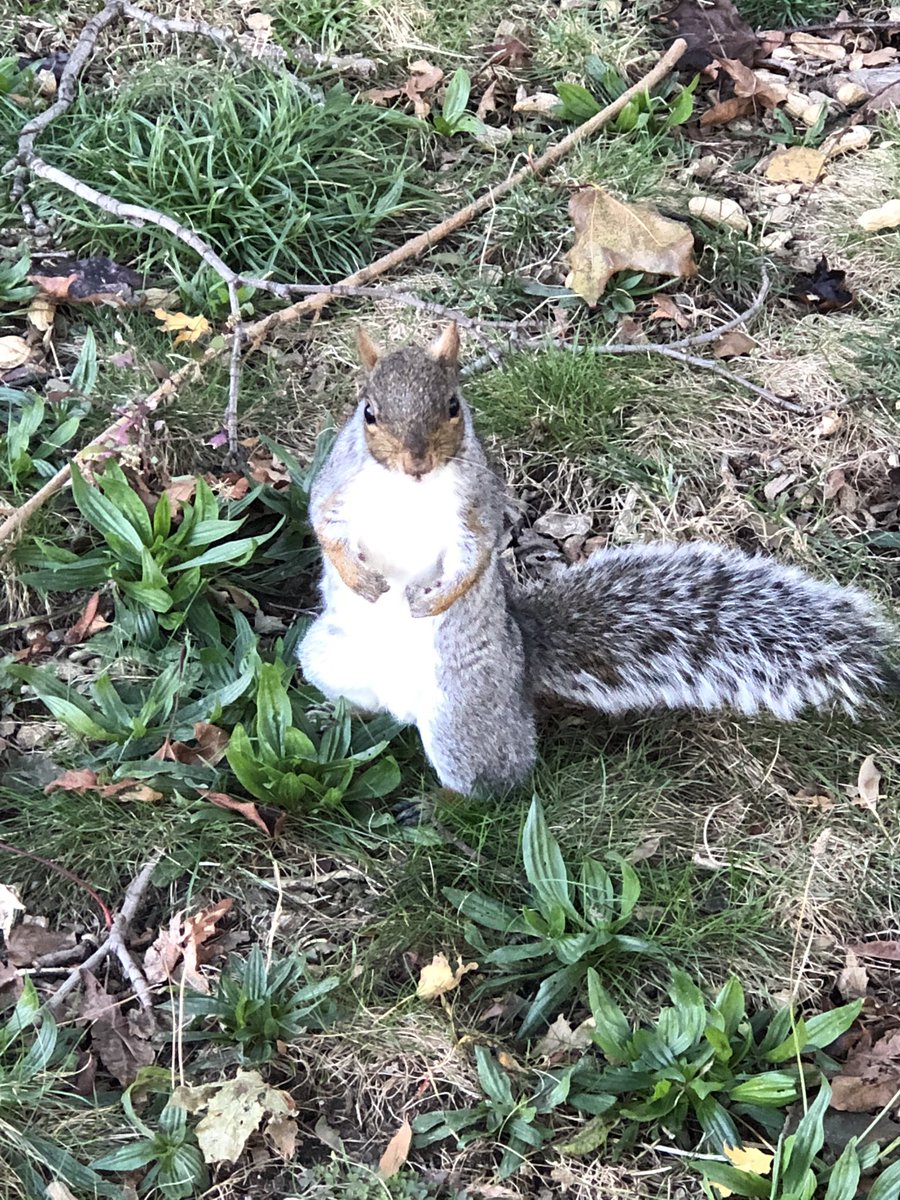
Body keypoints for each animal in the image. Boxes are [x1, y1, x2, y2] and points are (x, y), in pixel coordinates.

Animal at [298, 322, 898, 796]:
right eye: (368, 412)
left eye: (452, 406)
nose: (417, 461)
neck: (408, 489)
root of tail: (522, 660)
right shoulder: (336, 488)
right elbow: (324, 526)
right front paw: (358, 577)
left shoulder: (476, 507)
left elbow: (474, 556)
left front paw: (435, 598)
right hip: (325, 658)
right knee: (366, 707)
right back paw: (332, 715)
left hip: (463, 715)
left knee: (495, 787)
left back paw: (438, 804)